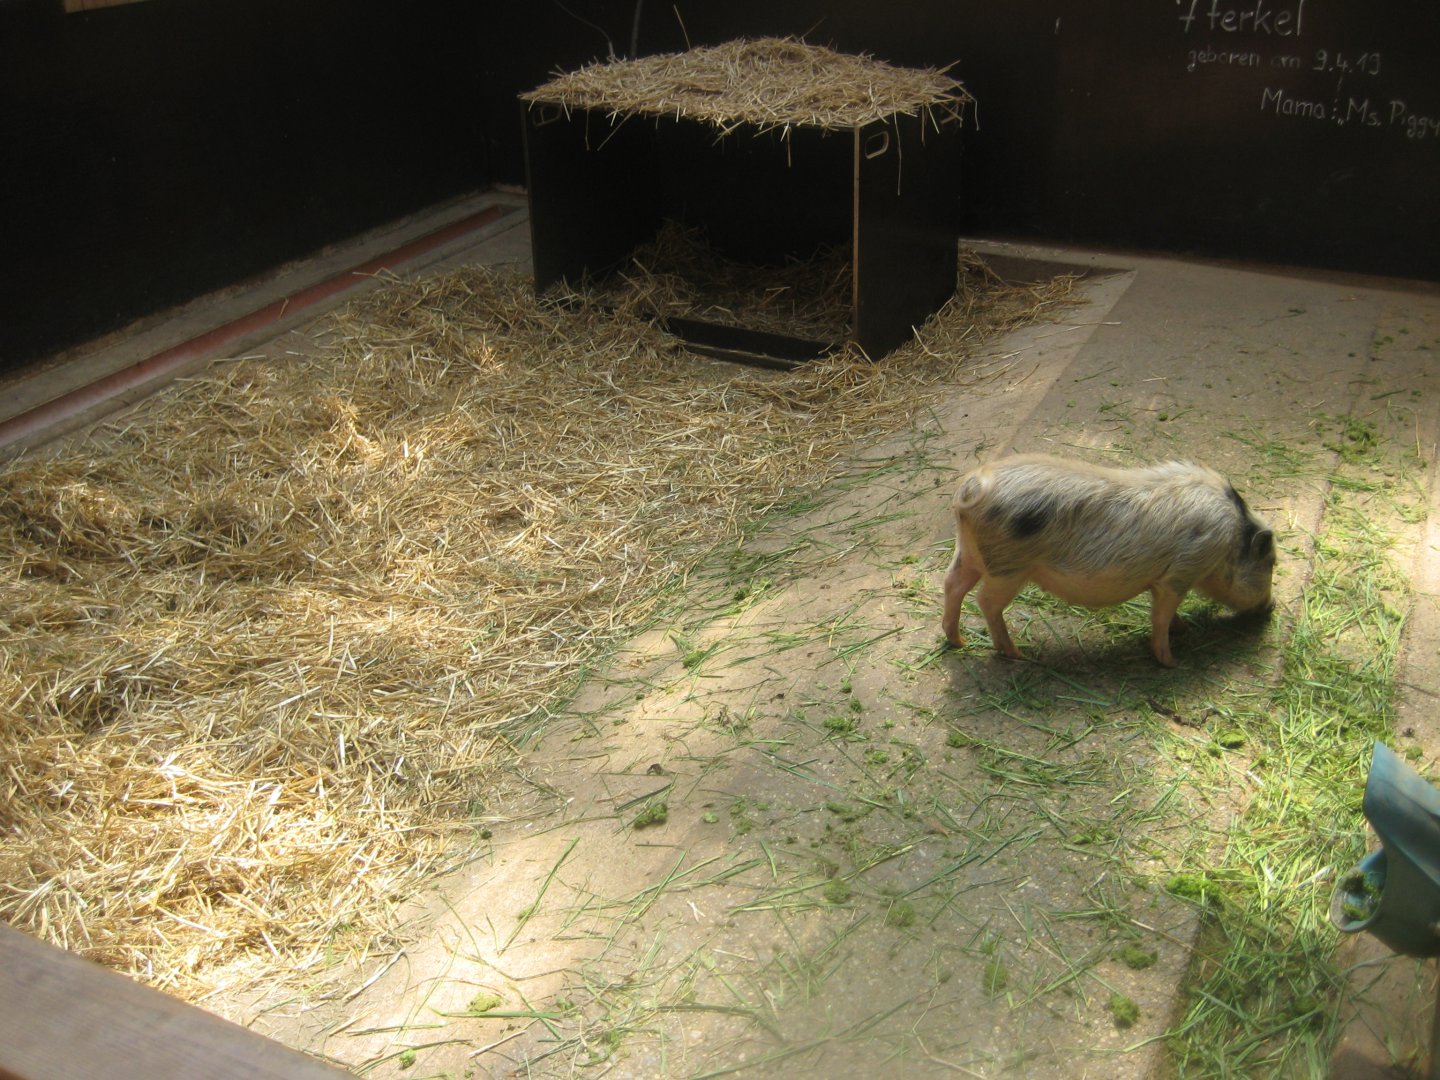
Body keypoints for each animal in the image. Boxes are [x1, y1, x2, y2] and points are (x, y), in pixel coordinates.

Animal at [940, 454, 1275, 666]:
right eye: (1270, 563)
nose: (1272, 606)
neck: (1231, 538)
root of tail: (971, 487)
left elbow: (1164, 611)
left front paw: (1183, 630)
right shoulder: (1179, 573)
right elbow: (1161, 615)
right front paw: (1172, 662)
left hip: (969, 552)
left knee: (952, 584)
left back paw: (959, 642)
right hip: (1007, 567)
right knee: (985, 601)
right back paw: (1016, 655)